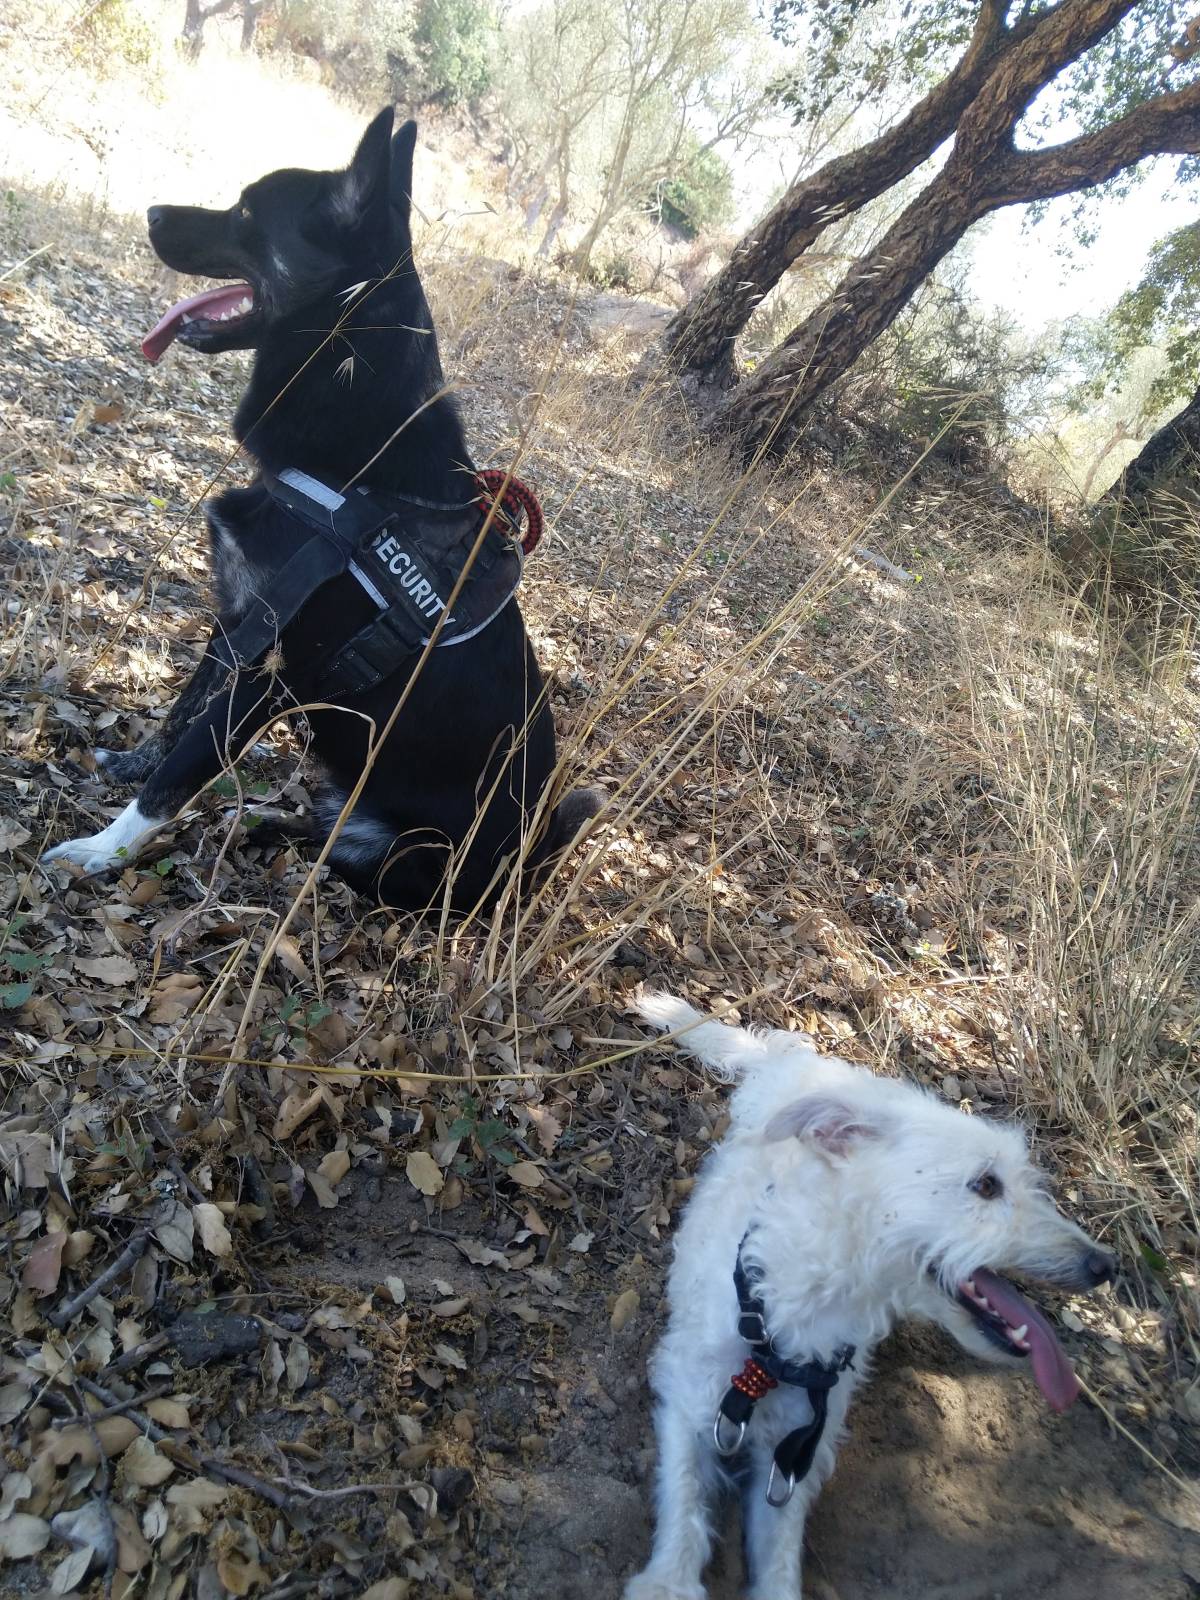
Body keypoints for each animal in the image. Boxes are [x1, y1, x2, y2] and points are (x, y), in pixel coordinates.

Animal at [44, 109, 598, 915]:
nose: (149, 213)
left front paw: (102, 849)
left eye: (247, 213)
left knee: (341, 859)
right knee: (315, 827)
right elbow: (181, 715)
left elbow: (185, 767)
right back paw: (256, 825)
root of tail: (525, 872)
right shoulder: (237, 626)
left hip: (410, 853)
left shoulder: (273, 674)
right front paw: (130, 763)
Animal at [630, 992, 1120, 1593]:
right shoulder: (689, 1403)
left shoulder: (791, 1461)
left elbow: (778, 1563)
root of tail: (815, 1064)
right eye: (985, 1184)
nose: (1105, 1265)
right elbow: (684, 1503)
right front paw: (666, 1583)